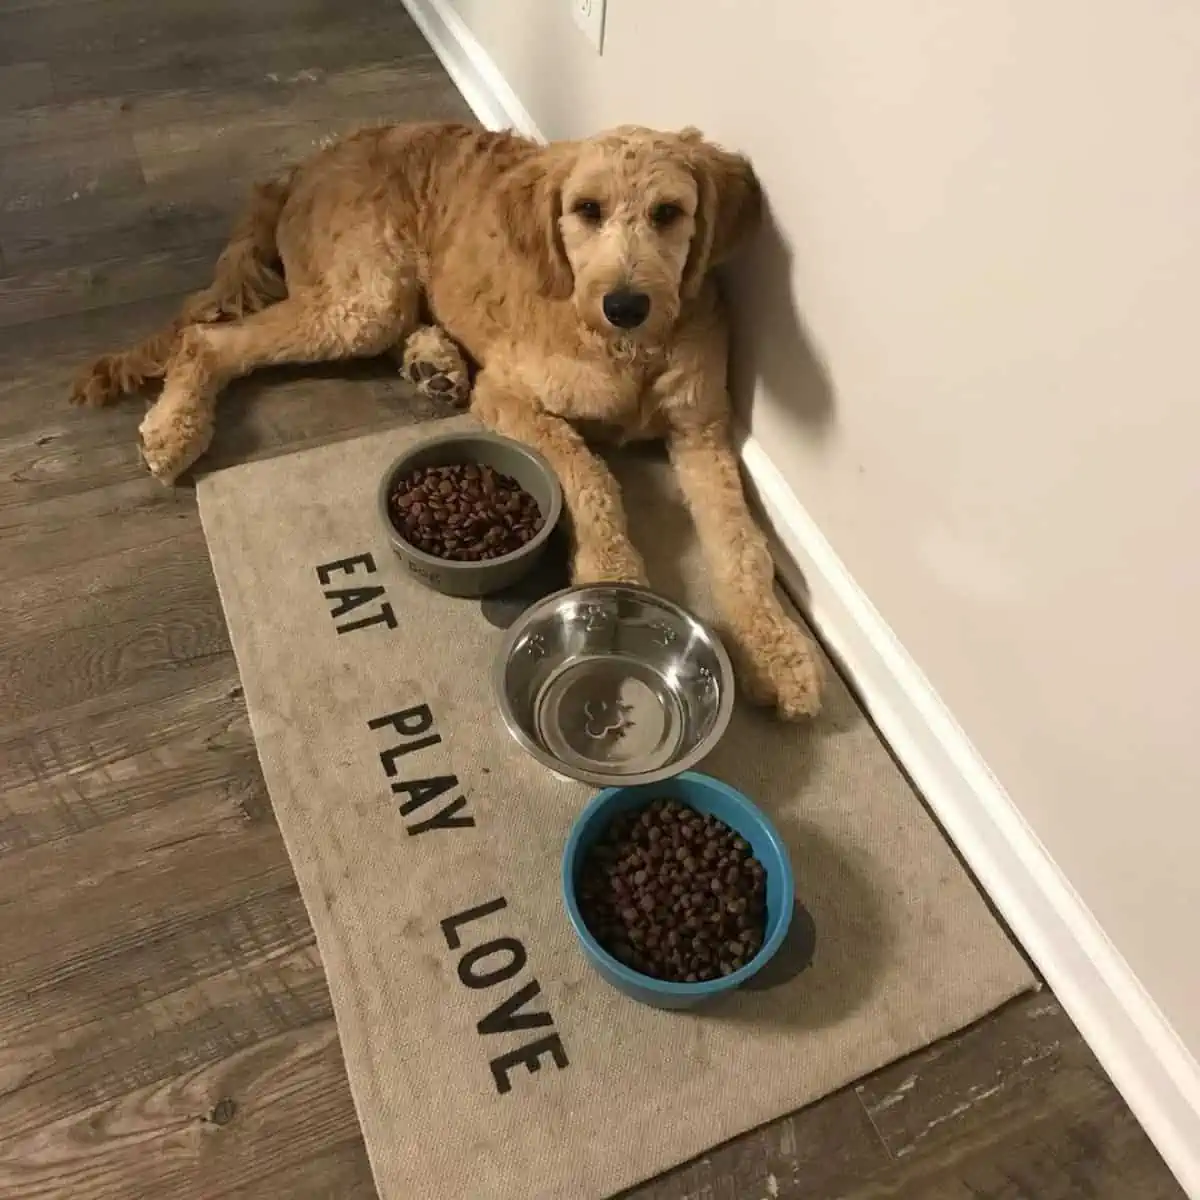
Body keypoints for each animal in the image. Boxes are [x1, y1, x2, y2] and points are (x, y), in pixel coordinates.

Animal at [72, 117, 825, 715]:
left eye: (669, 212)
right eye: (586, 209)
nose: (626, 303)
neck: (628, 352)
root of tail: (306, 165)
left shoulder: (702, 431)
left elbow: (743, 545)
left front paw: (779, 651)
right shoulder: (509, 395)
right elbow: (590, 477)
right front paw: (611, 581)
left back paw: (432, 361)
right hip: (364, 299)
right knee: (209, 340)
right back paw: (175, 428)